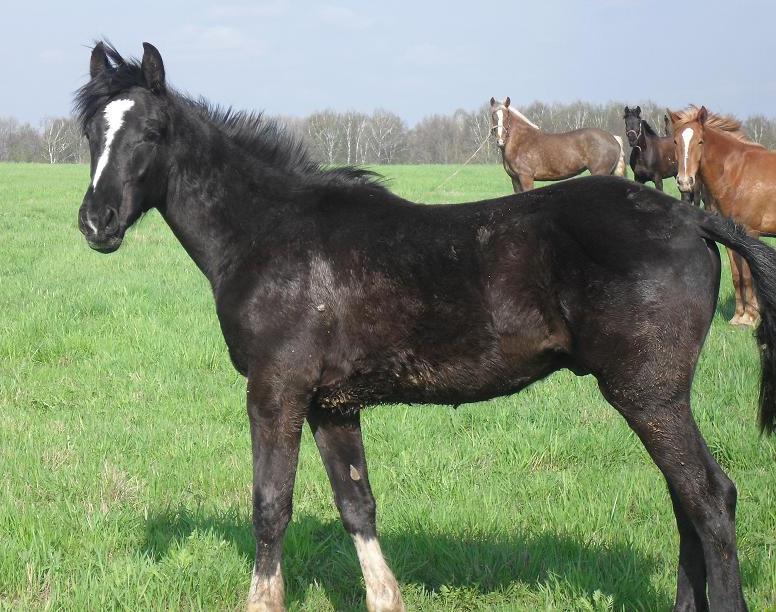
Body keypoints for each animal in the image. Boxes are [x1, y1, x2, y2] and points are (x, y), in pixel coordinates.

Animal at [489, 97, 626, 193]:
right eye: (493, 116)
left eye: (507, 115)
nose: (500, 140)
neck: (521, 142)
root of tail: (613, 138)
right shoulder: (515, 179)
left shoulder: (526, 177)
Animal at [670, 105, 776, 327]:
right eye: (675, 141)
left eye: (700, 141)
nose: (685, 181)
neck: (738, 174)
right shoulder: (730, 235)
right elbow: (737, 275)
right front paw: (738, 316)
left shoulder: (751, 233)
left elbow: (749, 275)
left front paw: (751, 317)